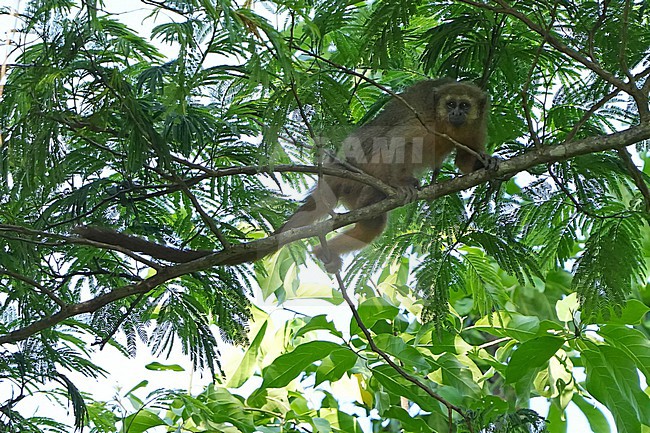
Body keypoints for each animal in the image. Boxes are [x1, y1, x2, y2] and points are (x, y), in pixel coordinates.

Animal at [277, 78, 493, 273]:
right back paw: (392, 187)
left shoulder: (477, 126)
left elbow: (464, 159)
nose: (456, 112)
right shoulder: (423, 118)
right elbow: (393, 141)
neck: (445, 125)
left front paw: (488, 163)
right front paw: (400, 184)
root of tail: (339, 166)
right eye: (450, 104)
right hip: (358, 172)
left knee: (372, 225)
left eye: (464, 105)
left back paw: (324, 250)